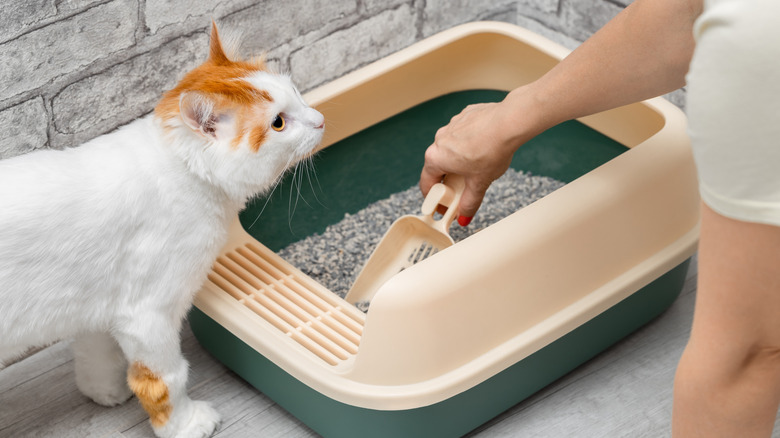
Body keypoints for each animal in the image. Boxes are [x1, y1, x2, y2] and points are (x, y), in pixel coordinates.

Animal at [0, 24, 324, 438]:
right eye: (279, 122)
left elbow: (96, 352)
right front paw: (185, 424)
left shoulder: (98, 300)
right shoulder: (147, 315)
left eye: (296, 92)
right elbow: (165, 378)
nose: (320, 119)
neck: (181, 169)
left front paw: (102, 390)